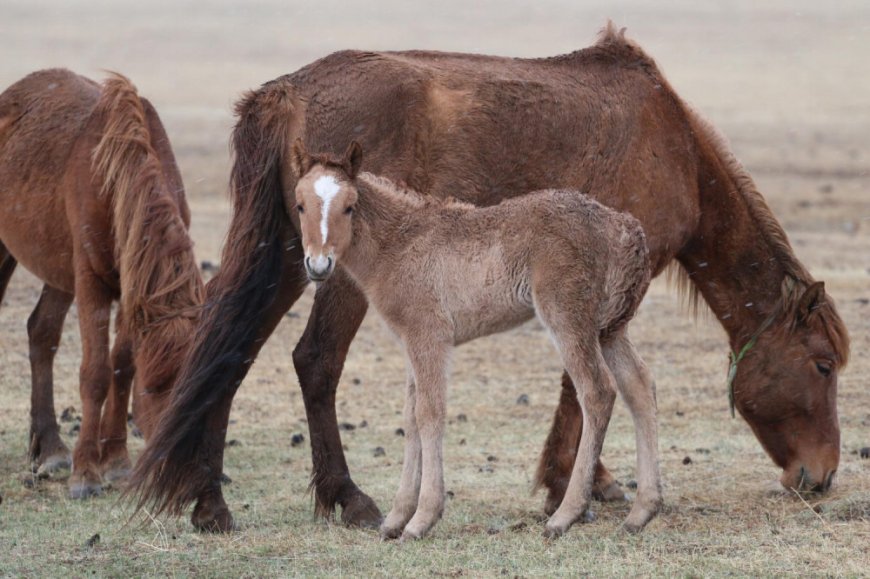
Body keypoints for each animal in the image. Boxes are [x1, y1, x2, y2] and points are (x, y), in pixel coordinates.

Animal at [0, 70, 203, 498]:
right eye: (156, 387)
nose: (177, 470)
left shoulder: (130, 289)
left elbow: (121, 366)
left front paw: (116, 462)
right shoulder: (91, 283)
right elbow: (95, 372)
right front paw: (85, 474)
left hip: (57, 269)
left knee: (42, 334)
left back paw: (50, 449)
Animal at [290, 143, 664, 540]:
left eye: (349, 206)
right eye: (299, 205)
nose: (318, 265)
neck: (400, 243)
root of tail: (626, 230)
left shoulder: (430, 336)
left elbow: (429, 413)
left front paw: (422, 519)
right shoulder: (410, 342)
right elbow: (410, 415)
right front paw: (395, 519)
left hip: (568, 316)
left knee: (597, 391)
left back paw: (566, 514)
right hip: (609, 328)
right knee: (640, 386)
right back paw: (642, 511)